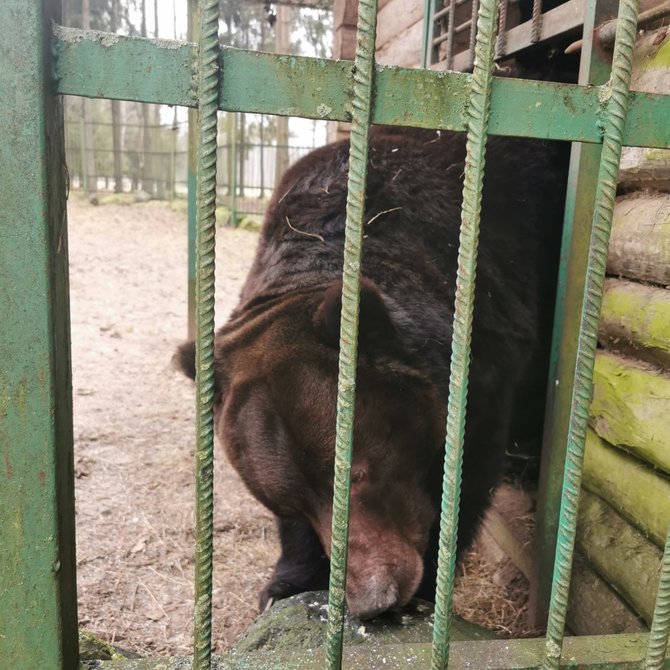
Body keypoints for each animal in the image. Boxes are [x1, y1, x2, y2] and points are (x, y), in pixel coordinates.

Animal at [176, 124, 568, 620]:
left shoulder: (486, 349)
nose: (372, 598)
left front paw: (427, 588)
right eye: (294, 504)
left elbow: (464, 481)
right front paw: (285, 584)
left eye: (359, 474)